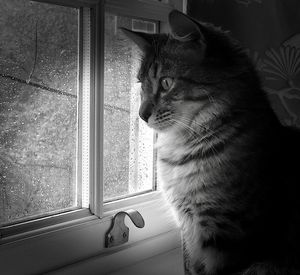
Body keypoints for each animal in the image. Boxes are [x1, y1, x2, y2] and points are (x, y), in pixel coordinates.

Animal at [120, 9, 300, 275]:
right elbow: (190, 266)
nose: (141, 115)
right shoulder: (188, 228)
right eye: (142, 83)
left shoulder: (226, 236)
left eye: (166, 83)